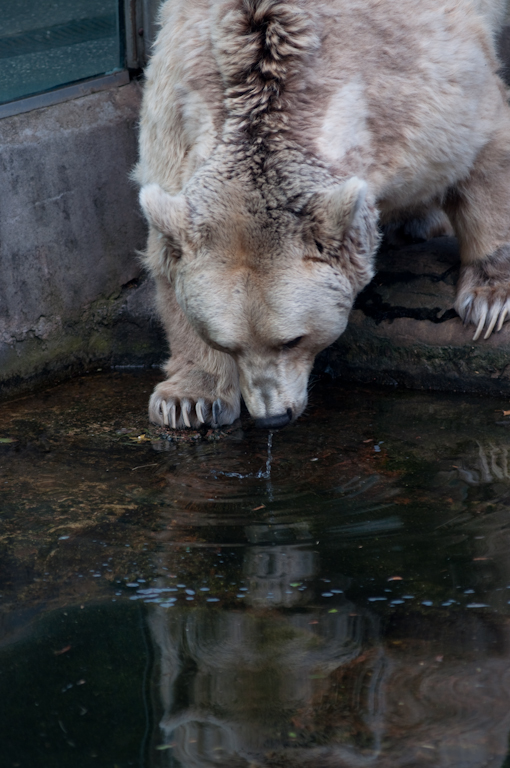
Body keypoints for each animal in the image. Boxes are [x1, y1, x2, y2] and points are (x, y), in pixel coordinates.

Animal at [134, 0, 510, 432]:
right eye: (226, 344)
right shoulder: (178, 106)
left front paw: (489, 299)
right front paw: (189, 399)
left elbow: (483, 144)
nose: (272, 418)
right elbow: (166, 256)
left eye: (293, 339)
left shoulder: (422, 73)